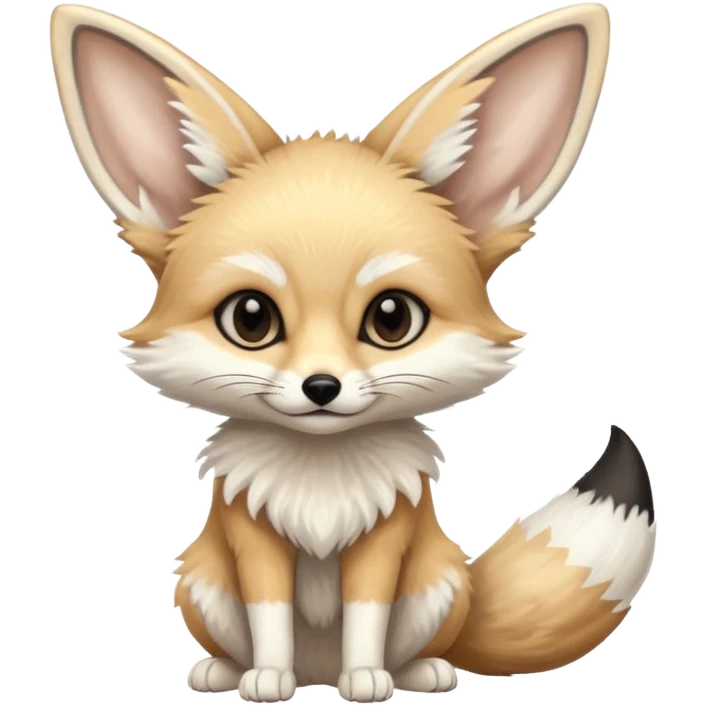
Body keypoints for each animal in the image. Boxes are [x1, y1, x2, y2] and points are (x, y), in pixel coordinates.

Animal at [48, 1, 656, 701]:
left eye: (392, 318)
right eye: (250, 318)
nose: (321, 387)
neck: (321, 482)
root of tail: (319, 671)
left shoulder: (385, 540)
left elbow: (367, 616)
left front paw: (365, 676)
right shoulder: (252, 538)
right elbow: (271, 617)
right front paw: (268, 676)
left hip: (437, 583)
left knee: (421, 643)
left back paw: (416, 671)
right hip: (202, 581)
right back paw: (226, 669)